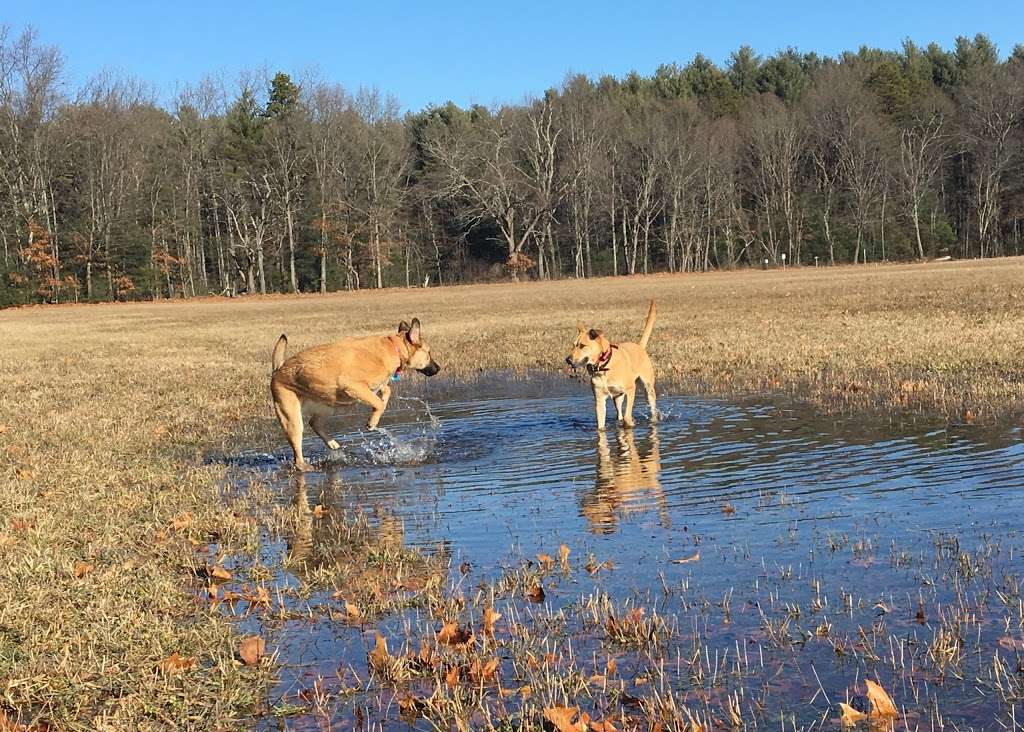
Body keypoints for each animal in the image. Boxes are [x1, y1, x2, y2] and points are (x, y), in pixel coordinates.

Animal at [268, 319, 440, 468]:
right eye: (429, 352)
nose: (438, 368)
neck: (394, 348)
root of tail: (277, 370)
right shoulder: (354, 386)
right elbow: (378, 403)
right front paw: (372, 422)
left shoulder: (376, 386)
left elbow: (386, 391)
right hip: (292, 419)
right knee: (298, 455)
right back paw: (306, 466)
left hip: (326, 405)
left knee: (315, 423)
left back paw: (333, 444)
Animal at [565, 303, 659, 432]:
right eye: (574, 345)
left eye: (582, 346)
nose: (567, 360)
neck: (603, 367)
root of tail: (639, 346)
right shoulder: (599, 400)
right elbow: (600, 425)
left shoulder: (631, 390)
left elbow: (627, 416)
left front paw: (630, 424)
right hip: (617, 398)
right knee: (619, 413)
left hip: (648, 389)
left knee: (652, 409)